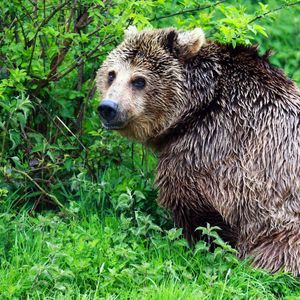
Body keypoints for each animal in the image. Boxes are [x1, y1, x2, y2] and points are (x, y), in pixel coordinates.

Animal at [96, 27, 300, 276]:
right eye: (111, 74)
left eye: (139, 80)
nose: (108, 108)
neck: (197, 108)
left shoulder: (211, 148)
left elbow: (197, 210)